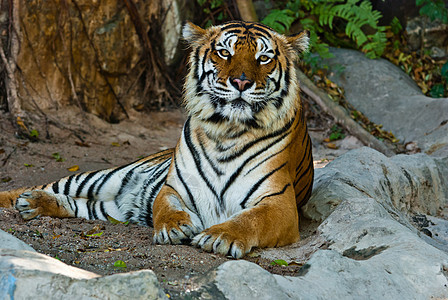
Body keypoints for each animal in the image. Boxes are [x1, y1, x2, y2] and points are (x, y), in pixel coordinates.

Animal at [0, 19, 314, 258]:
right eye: (225, 53)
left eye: (264, 58)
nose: (241, 82)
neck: (227, 130)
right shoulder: (174, 188)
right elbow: (166, 207)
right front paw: (174, 228)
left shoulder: (279, 203)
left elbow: (251, 219)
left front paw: (219, 236)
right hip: (102, 177)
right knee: (39, 188)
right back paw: (25, 199)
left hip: (106, 207)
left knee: (76, 203)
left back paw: (33, 205)